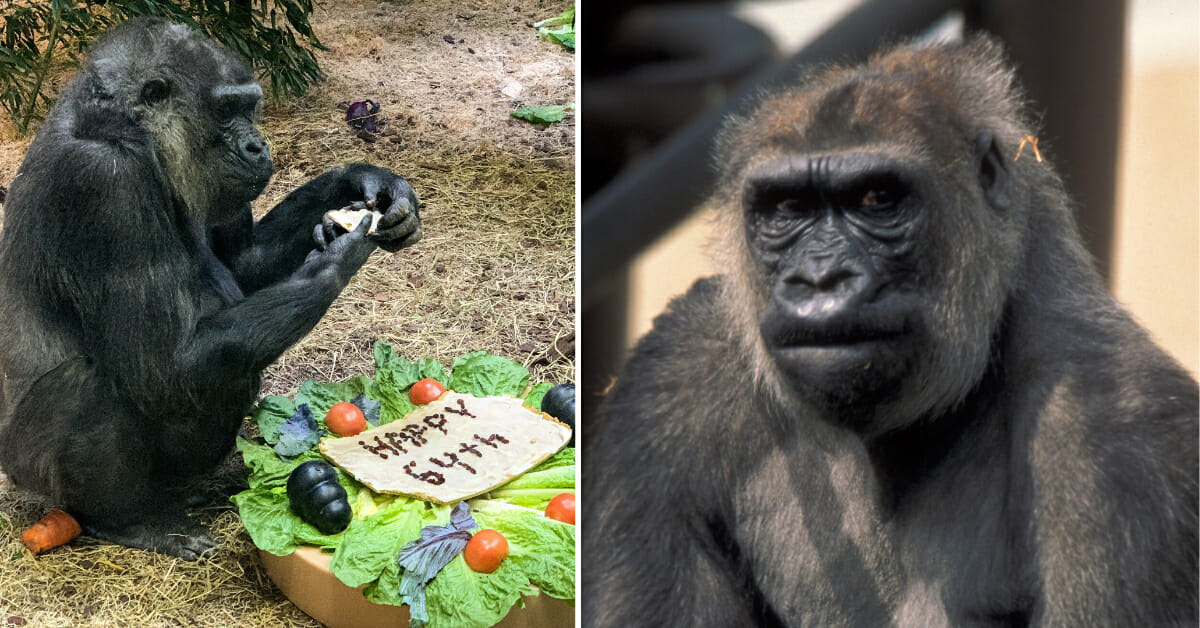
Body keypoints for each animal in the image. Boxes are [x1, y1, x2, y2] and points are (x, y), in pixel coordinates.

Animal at [0, 18, 422, 559]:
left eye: (248, 107)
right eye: (226, 110)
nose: (257, 145)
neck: (134, 137)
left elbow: (245, 266)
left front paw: (364, 181)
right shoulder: (102, 183)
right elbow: (163, 368)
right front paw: (337, 259)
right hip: (31, 471)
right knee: (90, 384)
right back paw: (130, 521)